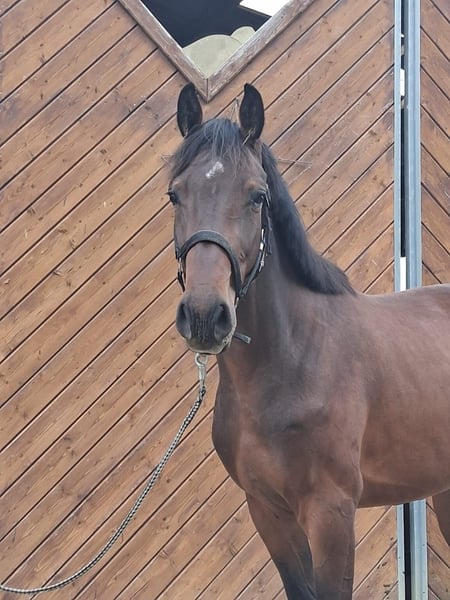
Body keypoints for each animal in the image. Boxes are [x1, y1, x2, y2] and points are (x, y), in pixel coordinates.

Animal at [168, 82, 450, 599]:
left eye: (257, 196)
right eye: (175, 195)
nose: (203, 315)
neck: (293, 360)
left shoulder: (330, 514)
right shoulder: (268, 512)